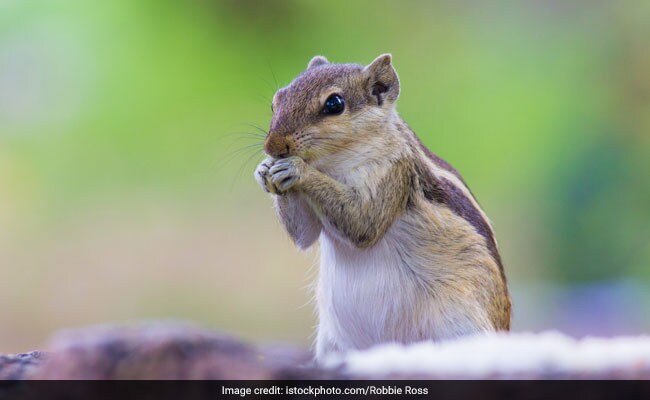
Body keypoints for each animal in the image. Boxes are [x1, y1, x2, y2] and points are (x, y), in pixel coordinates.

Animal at [254, 54, 512, 362]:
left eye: (334, 104)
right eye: (276, 100)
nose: (273, 146)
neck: (333, 164)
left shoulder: (393, 173)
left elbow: (363, 223)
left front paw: (297, 169)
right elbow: (305, 236)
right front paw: (264, 169)